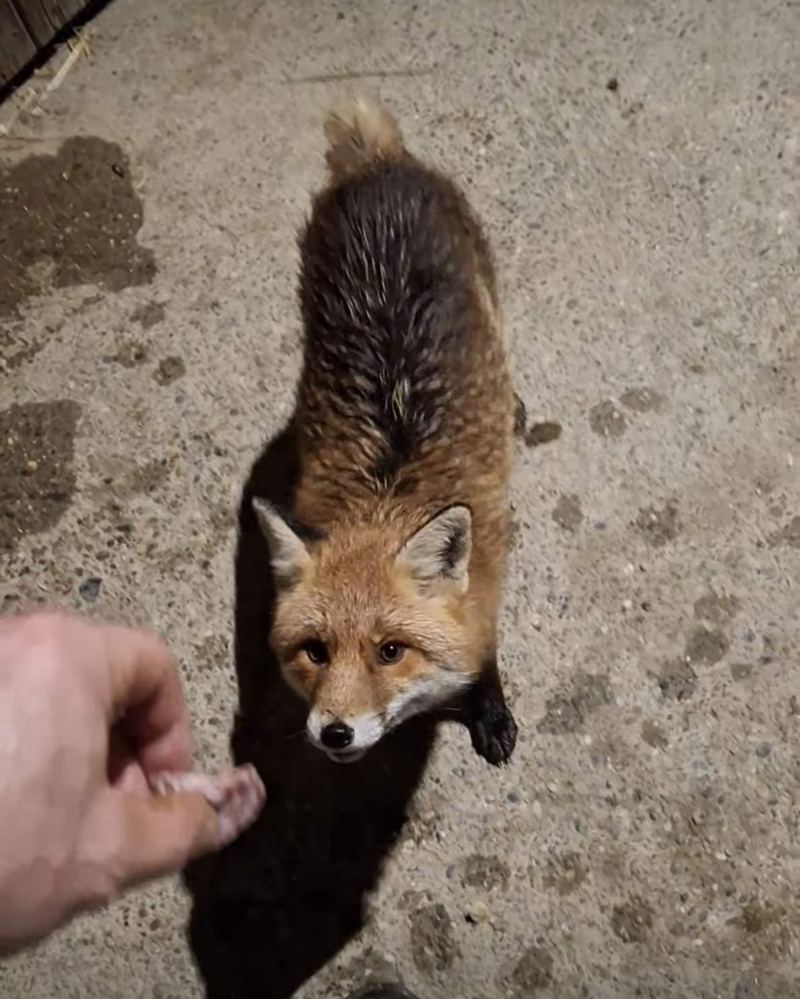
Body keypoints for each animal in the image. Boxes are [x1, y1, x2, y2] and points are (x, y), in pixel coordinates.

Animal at [253, 98, 518, 766]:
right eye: (315, 651)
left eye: (390, 651)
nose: (335, 733)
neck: (385, 496)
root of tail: (376, 166)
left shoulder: (485, 592)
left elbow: (483, 657)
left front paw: (490, 709)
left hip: (489, 290)